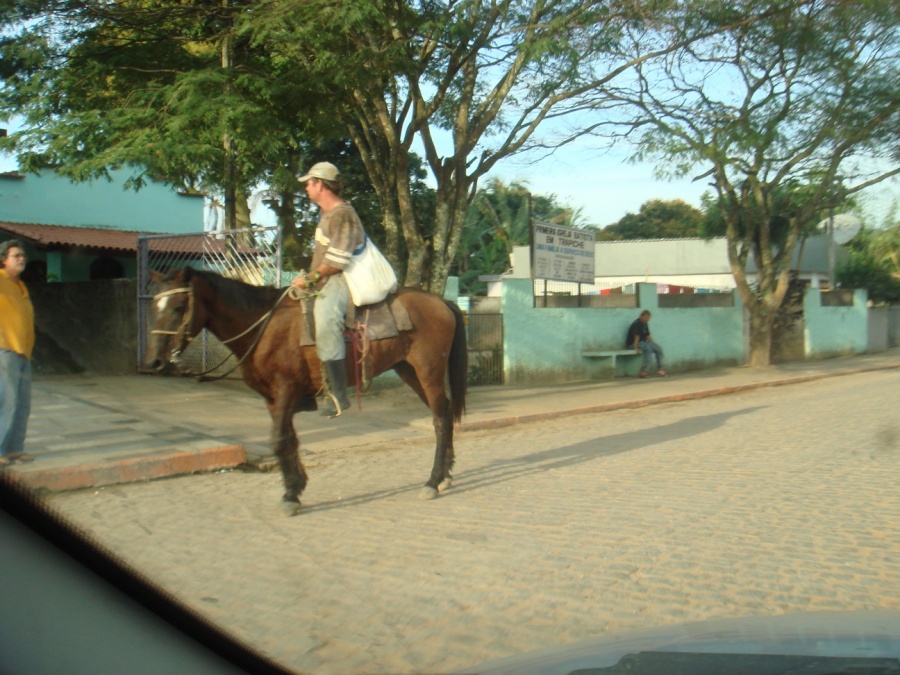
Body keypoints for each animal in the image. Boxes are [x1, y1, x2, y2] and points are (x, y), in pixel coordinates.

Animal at [144, 266, 468, 516]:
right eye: (153, 308)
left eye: (178, 307)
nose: (155, 361)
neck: (263, 326)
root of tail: (440, 302)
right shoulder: (274, 399)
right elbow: (289, 440)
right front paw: (296, 487)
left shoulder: (285, 391)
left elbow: (279, 440)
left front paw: (290, 495)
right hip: (408, 371)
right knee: (444, 413)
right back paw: (445, 475)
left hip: (428, 371)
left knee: (441, 418)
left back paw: (432, 481)